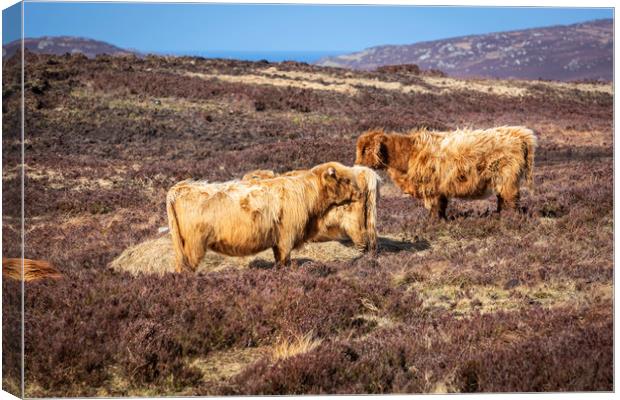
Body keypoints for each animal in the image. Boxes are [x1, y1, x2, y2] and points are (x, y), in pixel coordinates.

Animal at [356, 126, 536, 217]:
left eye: (365, 150)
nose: (356, 164)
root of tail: (519, 134)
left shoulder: (432, 187)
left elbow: (435, 208)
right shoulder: (440, 189)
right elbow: (441, 207)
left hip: (507, 178)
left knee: (510, 200)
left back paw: (509, 219)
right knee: (502, 199)